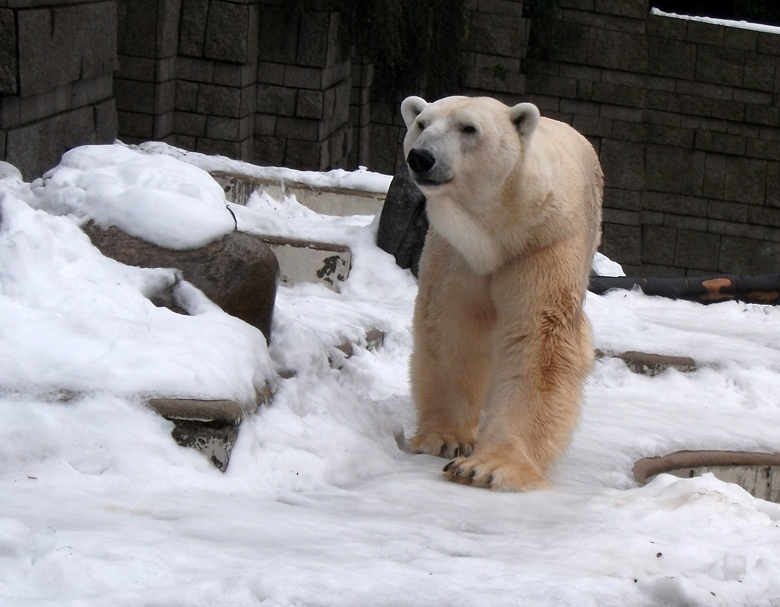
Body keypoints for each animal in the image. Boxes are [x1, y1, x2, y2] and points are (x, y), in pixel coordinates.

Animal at [402, 96, 604, 494]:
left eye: (469, 128)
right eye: (421, 123)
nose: (421, 158)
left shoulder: (545, 243)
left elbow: (540, 339)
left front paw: (485, 467)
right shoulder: (457, 250)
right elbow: (452, 327)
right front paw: (445, 439)